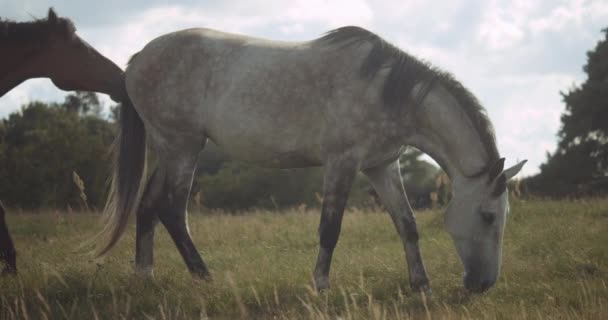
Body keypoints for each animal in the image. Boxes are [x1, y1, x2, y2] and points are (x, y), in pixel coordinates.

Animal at [100, 26, 524, 292]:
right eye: (488, 216)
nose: (483, 285)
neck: (388, 93)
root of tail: (138, 60)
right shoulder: (342, 163)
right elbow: (330, 229)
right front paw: (320, 285)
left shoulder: (380, 166)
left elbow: (407, 224)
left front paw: (420, 284)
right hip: (182, 147)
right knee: (172, 211)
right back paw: (204, 276)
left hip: (171, 149)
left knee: (148, 206)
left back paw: (145, 276)